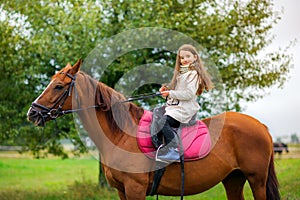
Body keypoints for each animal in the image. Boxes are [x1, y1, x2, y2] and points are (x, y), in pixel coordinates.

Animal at [27, 59, 280, 200]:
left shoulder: (135, 190)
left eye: (58, 86)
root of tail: (261, 126)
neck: (120, 135)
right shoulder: (122, 191)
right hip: (233, 179)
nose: (32, 113)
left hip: (256, 180)